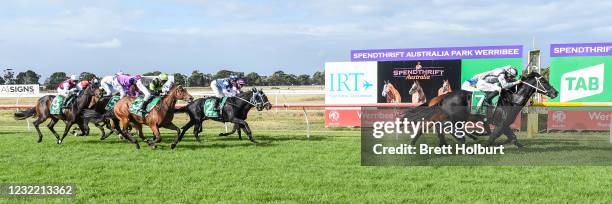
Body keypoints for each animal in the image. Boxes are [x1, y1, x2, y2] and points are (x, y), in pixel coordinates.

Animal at [404, 71, 556, 147]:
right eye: (543, 81)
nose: (555, 92)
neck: (513, 99)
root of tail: (444, 98)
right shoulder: (502, 122)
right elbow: (495, 136)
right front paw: (484, 145)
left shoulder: (504, 123)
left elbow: (512, 138)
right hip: (456, 118)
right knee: (445, 128)